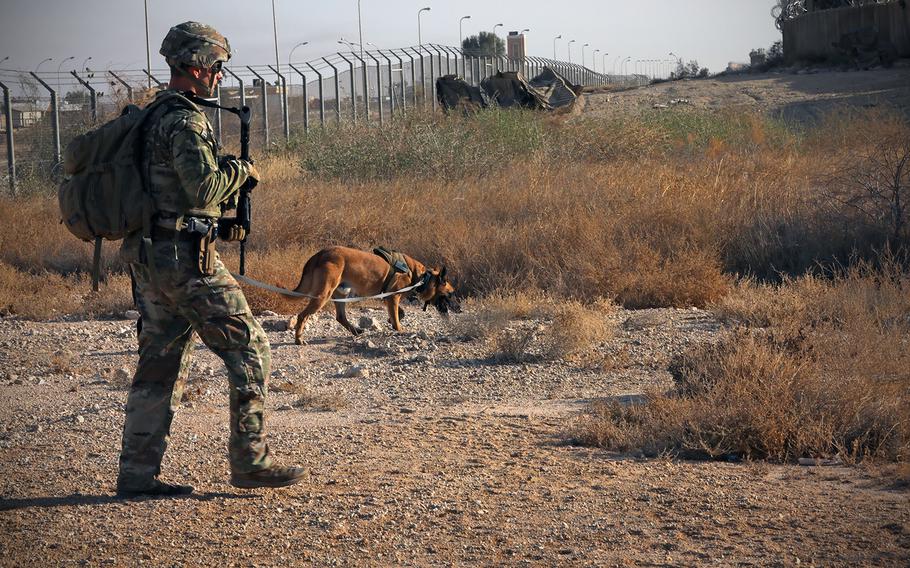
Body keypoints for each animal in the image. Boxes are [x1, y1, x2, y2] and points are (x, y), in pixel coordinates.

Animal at [284, 245, 460, 344]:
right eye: (451, 294)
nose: (460, 309)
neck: (422, 277)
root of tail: (318, 255)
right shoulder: (393, 297)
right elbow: (397, 319)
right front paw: (399, 329)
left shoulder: (389, 297)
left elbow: (398, 313)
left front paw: (392, 320)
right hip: (323, 295)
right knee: (302, 315)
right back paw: (299, 339)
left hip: (341, 294)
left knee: (340, 317)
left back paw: (355, 331)